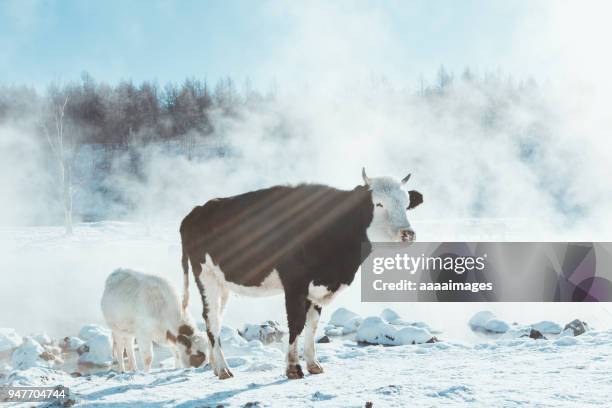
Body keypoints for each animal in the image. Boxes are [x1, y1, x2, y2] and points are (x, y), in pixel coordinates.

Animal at [179, 168, 424, 380]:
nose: (408, 234)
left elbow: (312, 324)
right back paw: (223, 369)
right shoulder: (294, 284)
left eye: (406, 204)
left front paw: (314, 364)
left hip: (222, 283)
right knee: (212, 319)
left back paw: (214, 365)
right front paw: (293, 368)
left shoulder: (318, 287)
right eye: (378, 203)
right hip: (206, 276)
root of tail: (196, 211)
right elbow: (296, 323)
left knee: (215, 318)